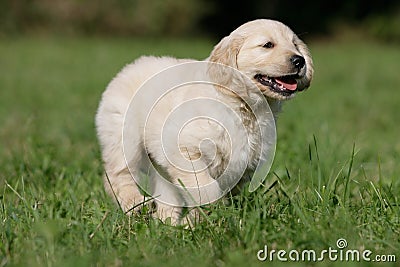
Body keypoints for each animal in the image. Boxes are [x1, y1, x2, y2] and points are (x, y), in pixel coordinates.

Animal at [96, 19, 312, 224]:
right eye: (267, 45)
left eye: (295, 45)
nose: (299, 60)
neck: (241, 104)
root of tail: (129, 67)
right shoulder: (186, 150)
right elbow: (207, 190)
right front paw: (203, 218)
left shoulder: (245, 164)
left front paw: (192, 223)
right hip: (124, 135)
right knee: (117, 174)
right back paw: (135, 204)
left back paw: (166, 223)